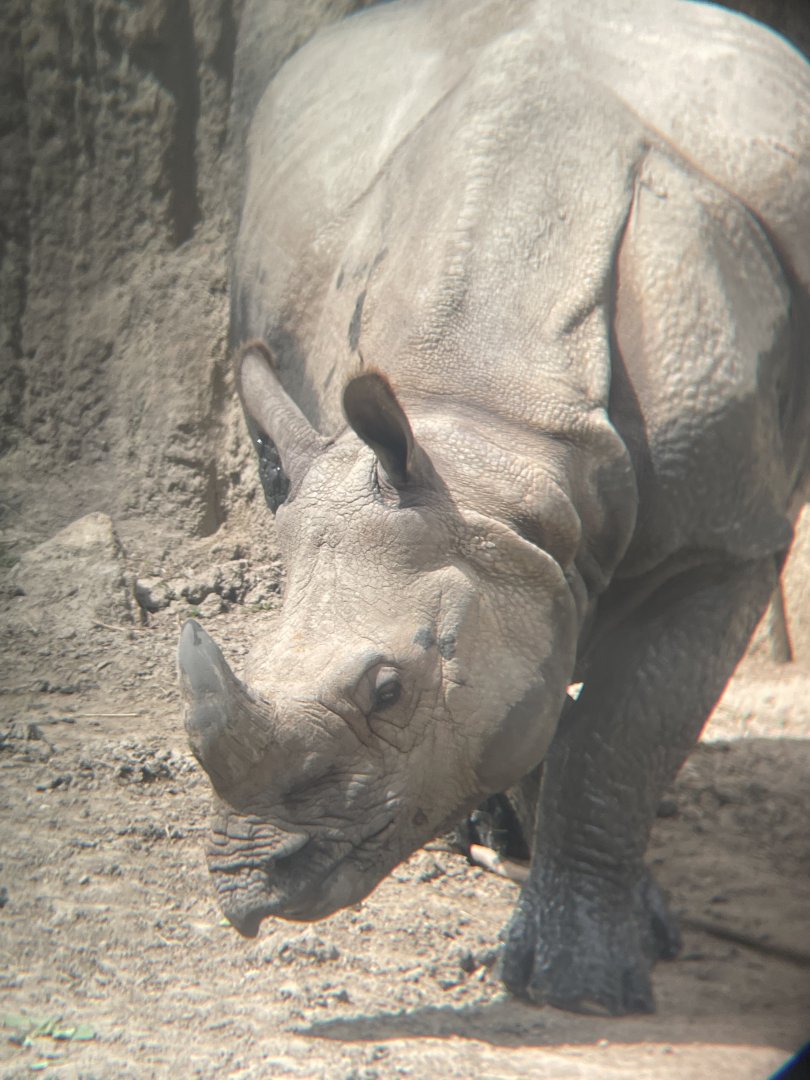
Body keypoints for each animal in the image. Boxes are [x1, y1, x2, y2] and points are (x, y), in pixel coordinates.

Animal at [178, 0, 810, 1014]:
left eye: (388, 691)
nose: (247, 888)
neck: (489, 425)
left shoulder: (722, 542)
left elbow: (616, 736)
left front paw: (584, 988)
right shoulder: (513, 548)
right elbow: (539, 713)